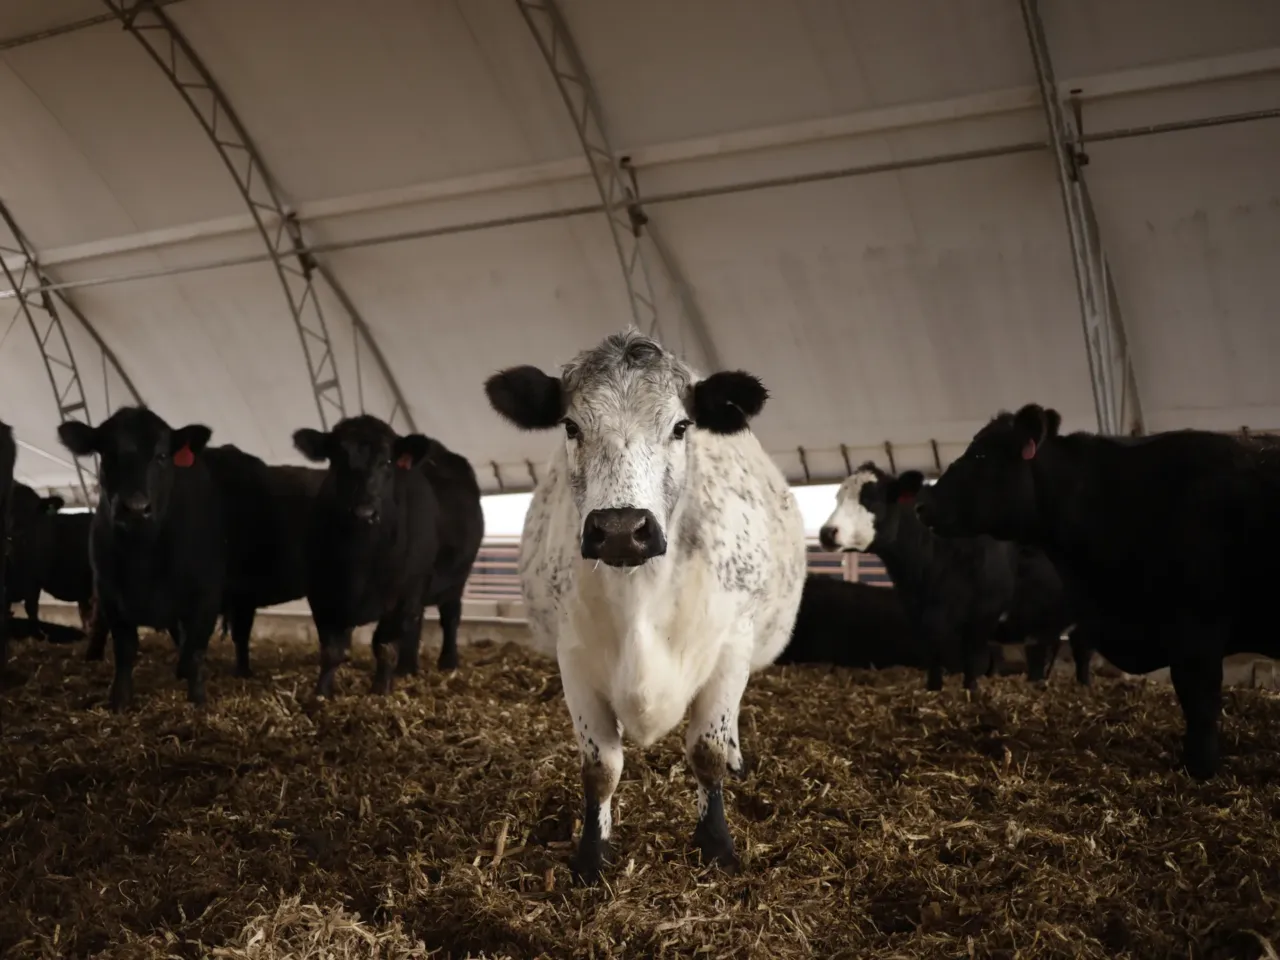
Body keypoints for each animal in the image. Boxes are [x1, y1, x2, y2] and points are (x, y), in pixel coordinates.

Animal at [58, 407, 225, 711]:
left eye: (162, 455)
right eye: (107, 453)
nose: (135, 508)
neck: (144, 555)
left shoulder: (207, 593)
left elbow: (195, 648)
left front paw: (198, 701)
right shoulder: (110, 593)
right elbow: (124, 649)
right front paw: (120, 702)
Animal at [292, 415, 440, 697]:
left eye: (388, 461)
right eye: (337, 458)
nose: (364, 512)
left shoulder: (404, 599)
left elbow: (385, 648)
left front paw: (380, 691)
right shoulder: (321, 594)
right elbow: (333, 651)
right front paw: (321, 694)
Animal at [484, 330, 807, 886]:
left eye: (680, 427)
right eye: (571, 425)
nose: (620, 529)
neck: (639, 595)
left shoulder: (732, 647)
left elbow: (706, 751)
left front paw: (716, 845)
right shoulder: (574, 657)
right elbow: (600, 769)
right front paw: (592, 857)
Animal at [818, 463, 1072, 691]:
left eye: (870, 499)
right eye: (838, 497)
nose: (827, 533)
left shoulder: (983, 617)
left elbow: (973, 666)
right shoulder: (921, 619)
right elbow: (933, 665)